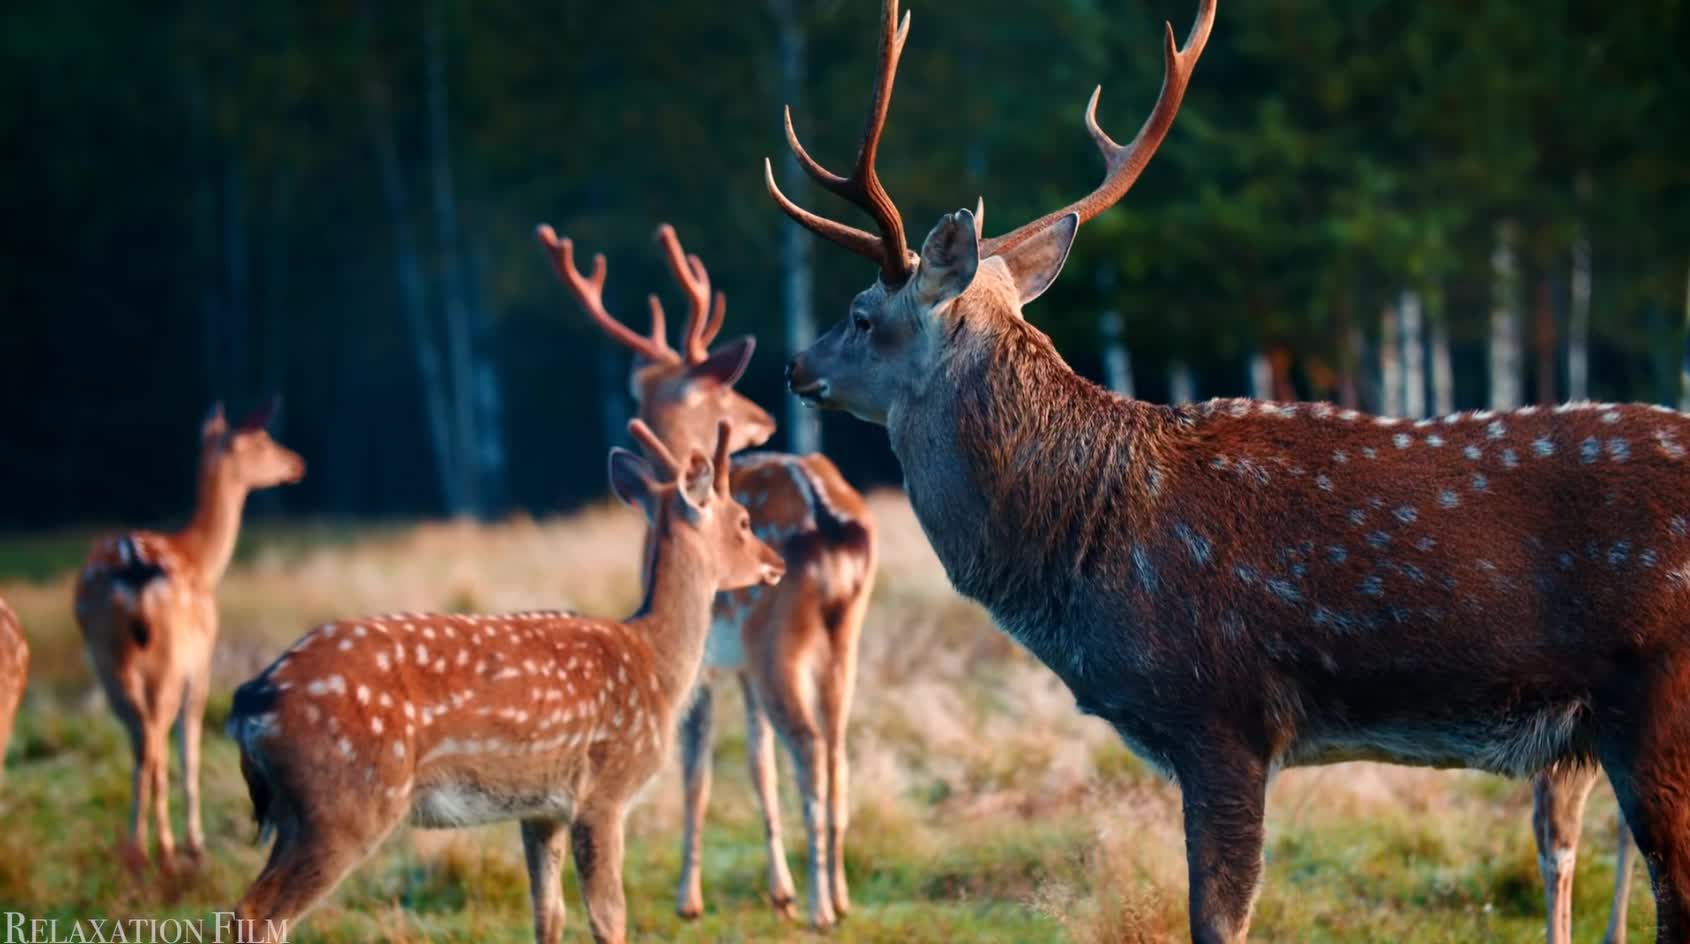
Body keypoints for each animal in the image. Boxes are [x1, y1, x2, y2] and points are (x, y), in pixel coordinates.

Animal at [75, 398, 307, 871]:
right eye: (261, 440)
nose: (297, 463)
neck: (202, 558)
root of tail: (132, 566)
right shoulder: (201, 661)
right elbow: (191, 746)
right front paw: (194, 843)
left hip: (108, 654)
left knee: (139, 739)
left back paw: (135, 849)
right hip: (168, 654)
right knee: (155, 738)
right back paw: (159, 848)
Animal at [224, 425, 790, 944]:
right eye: (743, 521)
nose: (778, 564)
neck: (656, 664)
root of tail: (250, 705)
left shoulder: (542, 809)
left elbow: (548, 916)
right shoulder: (603, 791)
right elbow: (609, 918)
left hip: (298, 811)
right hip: (346, 801)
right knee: (257, 912)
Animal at [537, 221, 885, 932]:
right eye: (727, 391)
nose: (766, 416)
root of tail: (832, 517)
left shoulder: (703, 661)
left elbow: (696, 776)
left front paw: (689, 898)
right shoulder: (740, 668)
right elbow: (755, 765)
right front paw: (776, 889)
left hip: (775, 633)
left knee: (809, 747)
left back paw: (821, 906)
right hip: (843, 631)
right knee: (835, 745)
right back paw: (838, 892)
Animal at [774, 1, 1690, 944]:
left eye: (860, 313)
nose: (795, 365)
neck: (1083, 549)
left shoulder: (1223, 711)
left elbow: (1217, 915)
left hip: (1659, 699)